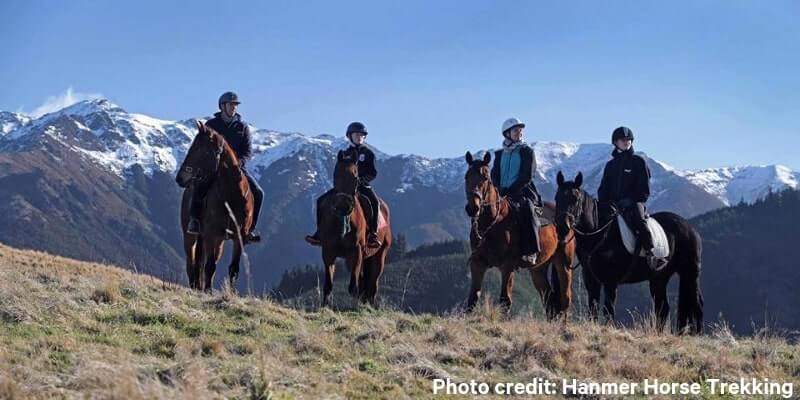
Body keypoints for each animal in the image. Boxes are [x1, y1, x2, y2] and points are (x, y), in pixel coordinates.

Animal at [175, 122, 256, 292]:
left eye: (200, 148)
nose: (180, 178)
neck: (231, 196)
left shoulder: (239, 237)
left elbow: (233, 269)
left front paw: (231, 293)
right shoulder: (213, 234)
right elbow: (209, 266)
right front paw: (208, 291)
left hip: (216, 241)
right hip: (192, 236)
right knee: (192, 261)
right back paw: (195, 286)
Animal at [317, 146, 392, 307]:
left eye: (355, 174)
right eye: (335, 173)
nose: (342, 205)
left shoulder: (356, 252)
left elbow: (353, 287)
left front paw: (355, 307)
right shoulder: (328, 251)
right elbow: (328, 284)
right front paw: (325, 306)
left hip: (379, 255)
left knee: (373, 284)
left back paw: (369, 305)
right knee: (364, 282)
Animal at [463, 151, 576, 319]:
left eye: (486, 178)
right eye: (467, 176)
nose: (473, 208)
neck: (493, 223)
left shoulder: (507, 266)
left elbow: (505, 300)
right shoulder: (477, 263)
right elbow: (472, 299)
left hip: (563, 264)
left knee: (565, 299)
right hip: (538, 269)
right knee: (548, 298)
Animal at [554, 171, 704, 334]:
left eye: (575, 199)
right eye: (557, 198)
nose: (562, 227)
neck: (600, 234)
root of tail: (690, 228)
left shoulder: (610, 281)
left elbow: (608, 310)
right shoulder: (591, 280)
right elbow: (593, 309)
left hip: (689, 274)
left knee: (696, 304)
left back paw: (697, 333)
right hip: (659, 278)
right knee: (663, 307)